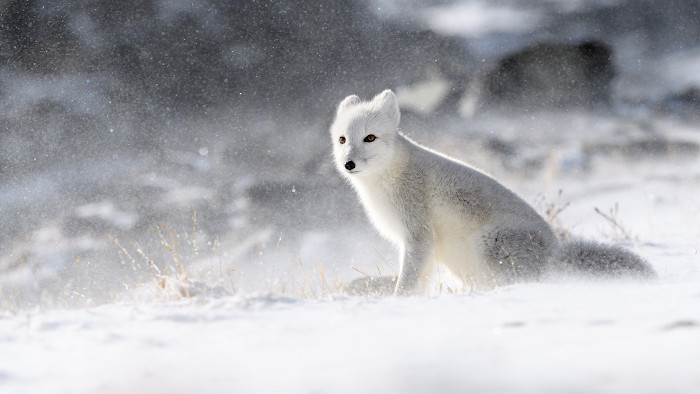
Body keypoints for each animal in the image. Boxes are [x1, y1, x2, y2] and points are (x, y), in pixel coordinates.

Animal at [330, 89, 652, 296]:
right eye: (343, 139)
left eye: (370, 138)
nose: (349, 164)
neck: (388, 178)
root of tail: (554, 256)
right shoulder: (416, 244)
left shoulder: (418, 235)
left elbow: (407, 282)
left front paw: (397, 302)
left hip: (490, 244)